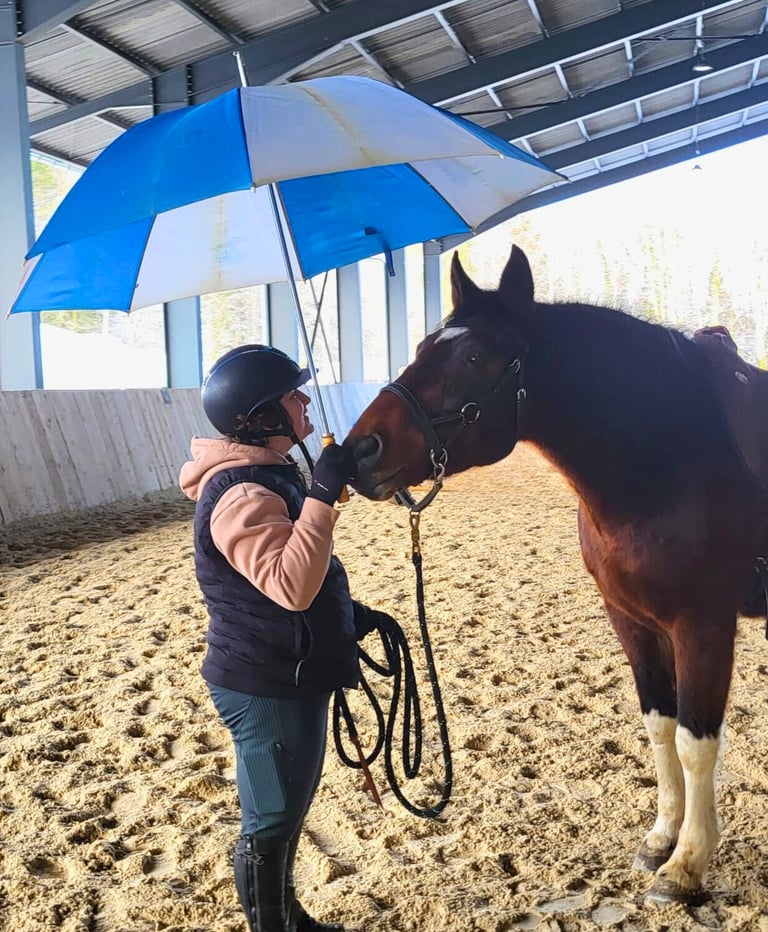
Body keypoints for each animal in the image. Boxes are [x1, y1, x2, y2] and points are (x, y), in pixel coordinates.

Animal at [344, 244, 768, 905]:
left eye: (473, 356)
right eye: (422, 347)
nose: (361, 451)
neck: (673, 460)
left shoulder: (703, 625)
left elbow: (696, 742)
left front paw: (687, 865)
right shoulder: (633, 622)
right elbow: (659, 725)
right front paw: (661, 838)